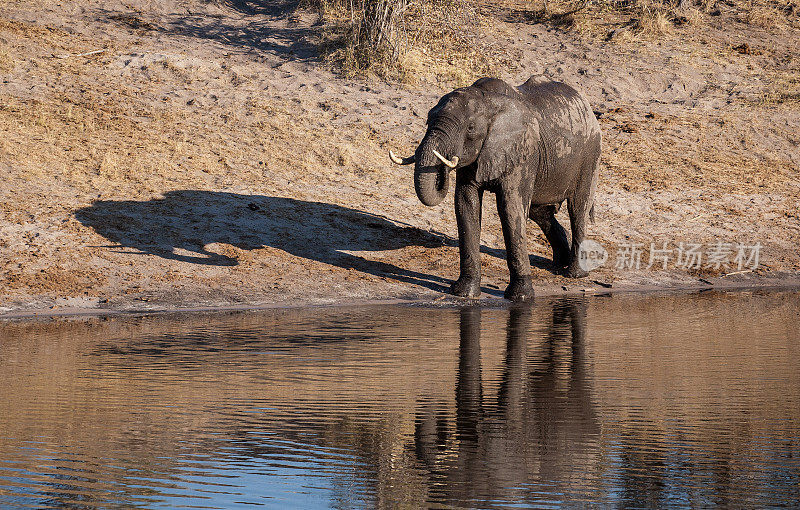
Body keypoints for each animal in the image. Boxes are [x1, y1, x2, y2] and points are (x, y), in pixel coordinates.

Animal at [390, 73, 604, 300]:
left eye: (471, 128)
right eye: (428, 120)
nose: (444, 165)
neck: (488, 102)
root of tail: (587, 105)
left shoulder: (522, 151)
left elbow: (510, 208)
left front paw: (520, 297)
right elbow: (466, 204)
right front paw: (464, 293)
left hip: (590, 154)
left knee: (577, 209)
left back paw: (574, 274)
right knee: (539, 212)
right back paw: (558, 264)